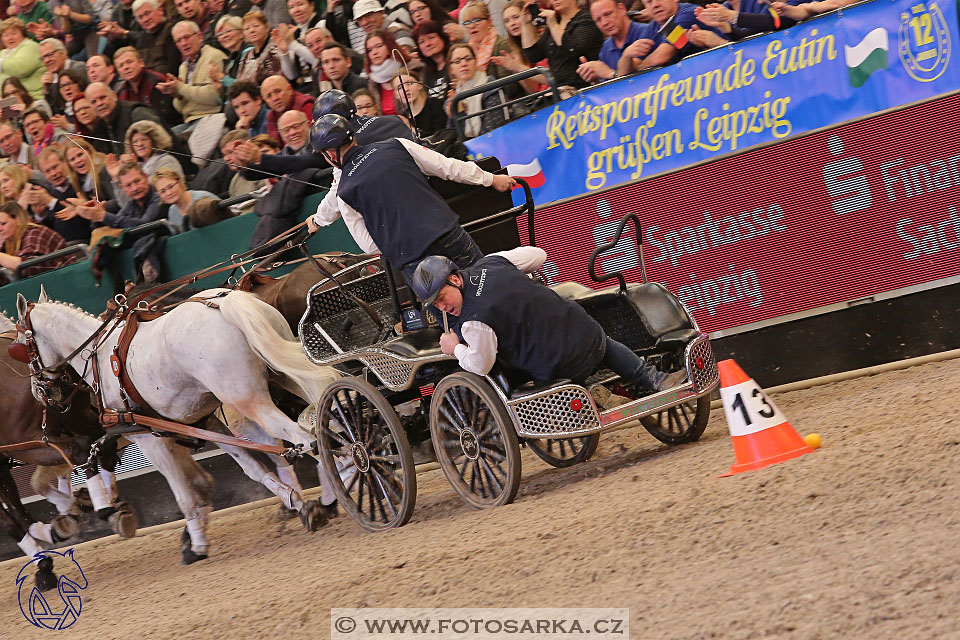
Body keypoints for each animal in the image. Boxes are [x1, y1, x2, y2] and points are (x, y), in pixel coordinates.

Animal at [15, 288, 342, 564]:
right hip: (282, 375)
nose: (38, 392)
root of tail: (223, 303)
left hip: (249, 399)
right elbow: (252, 469)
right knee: (324, 413)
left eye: (22, 348)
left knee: (305, 437)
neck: (100, 354)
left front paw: (196, 545)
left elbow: (184, 496)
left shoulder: (149, 438)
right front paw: (295, 502)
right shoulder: (205, 421)